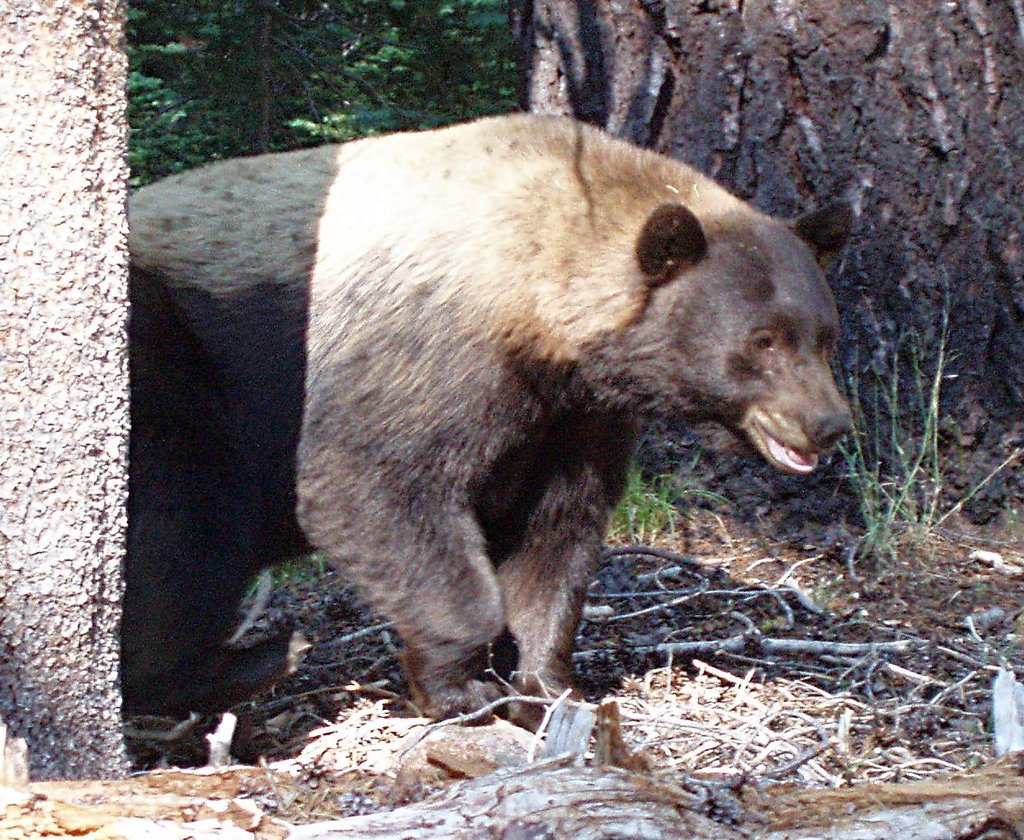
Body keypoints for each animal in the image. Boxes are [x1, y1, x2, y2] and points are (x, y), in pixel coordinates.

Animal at [123, 114, 851, 725]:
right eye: (764, 339)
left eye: (824, 335)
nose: (829, 423)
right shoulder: (425, 349)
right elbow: (369, 484)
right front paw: (461, 687)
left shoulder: (574, 415)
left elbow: (556, 531)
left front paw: (545, 683)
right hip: (168, 371)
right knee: (185, 531)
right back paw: (251, 661)